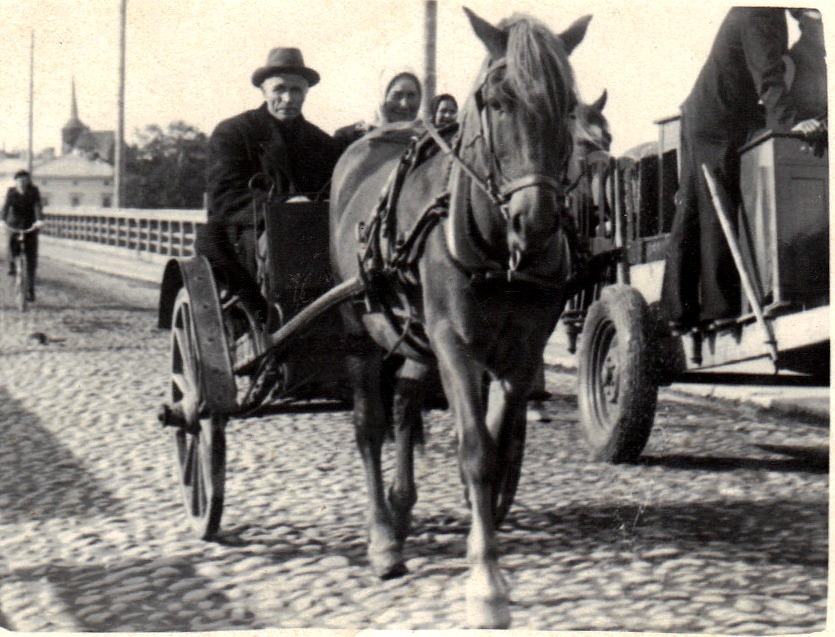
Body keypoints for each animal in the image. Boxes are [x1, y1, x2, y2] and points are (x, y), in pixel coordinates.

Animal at [330, 8, 592, 628]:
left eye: (568, 103)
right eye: (497, 101)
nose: (535, 223)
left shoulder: (522, 351)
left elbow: (494, 449)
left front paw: (486, 536)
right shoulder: (453, 341)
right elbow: (474, 450)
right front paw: (486, 585)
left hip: (415, 335)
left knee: (405, 401)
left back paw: (401, 509)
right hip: (361, 327)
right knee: (370, 424)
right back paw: (383, 536)